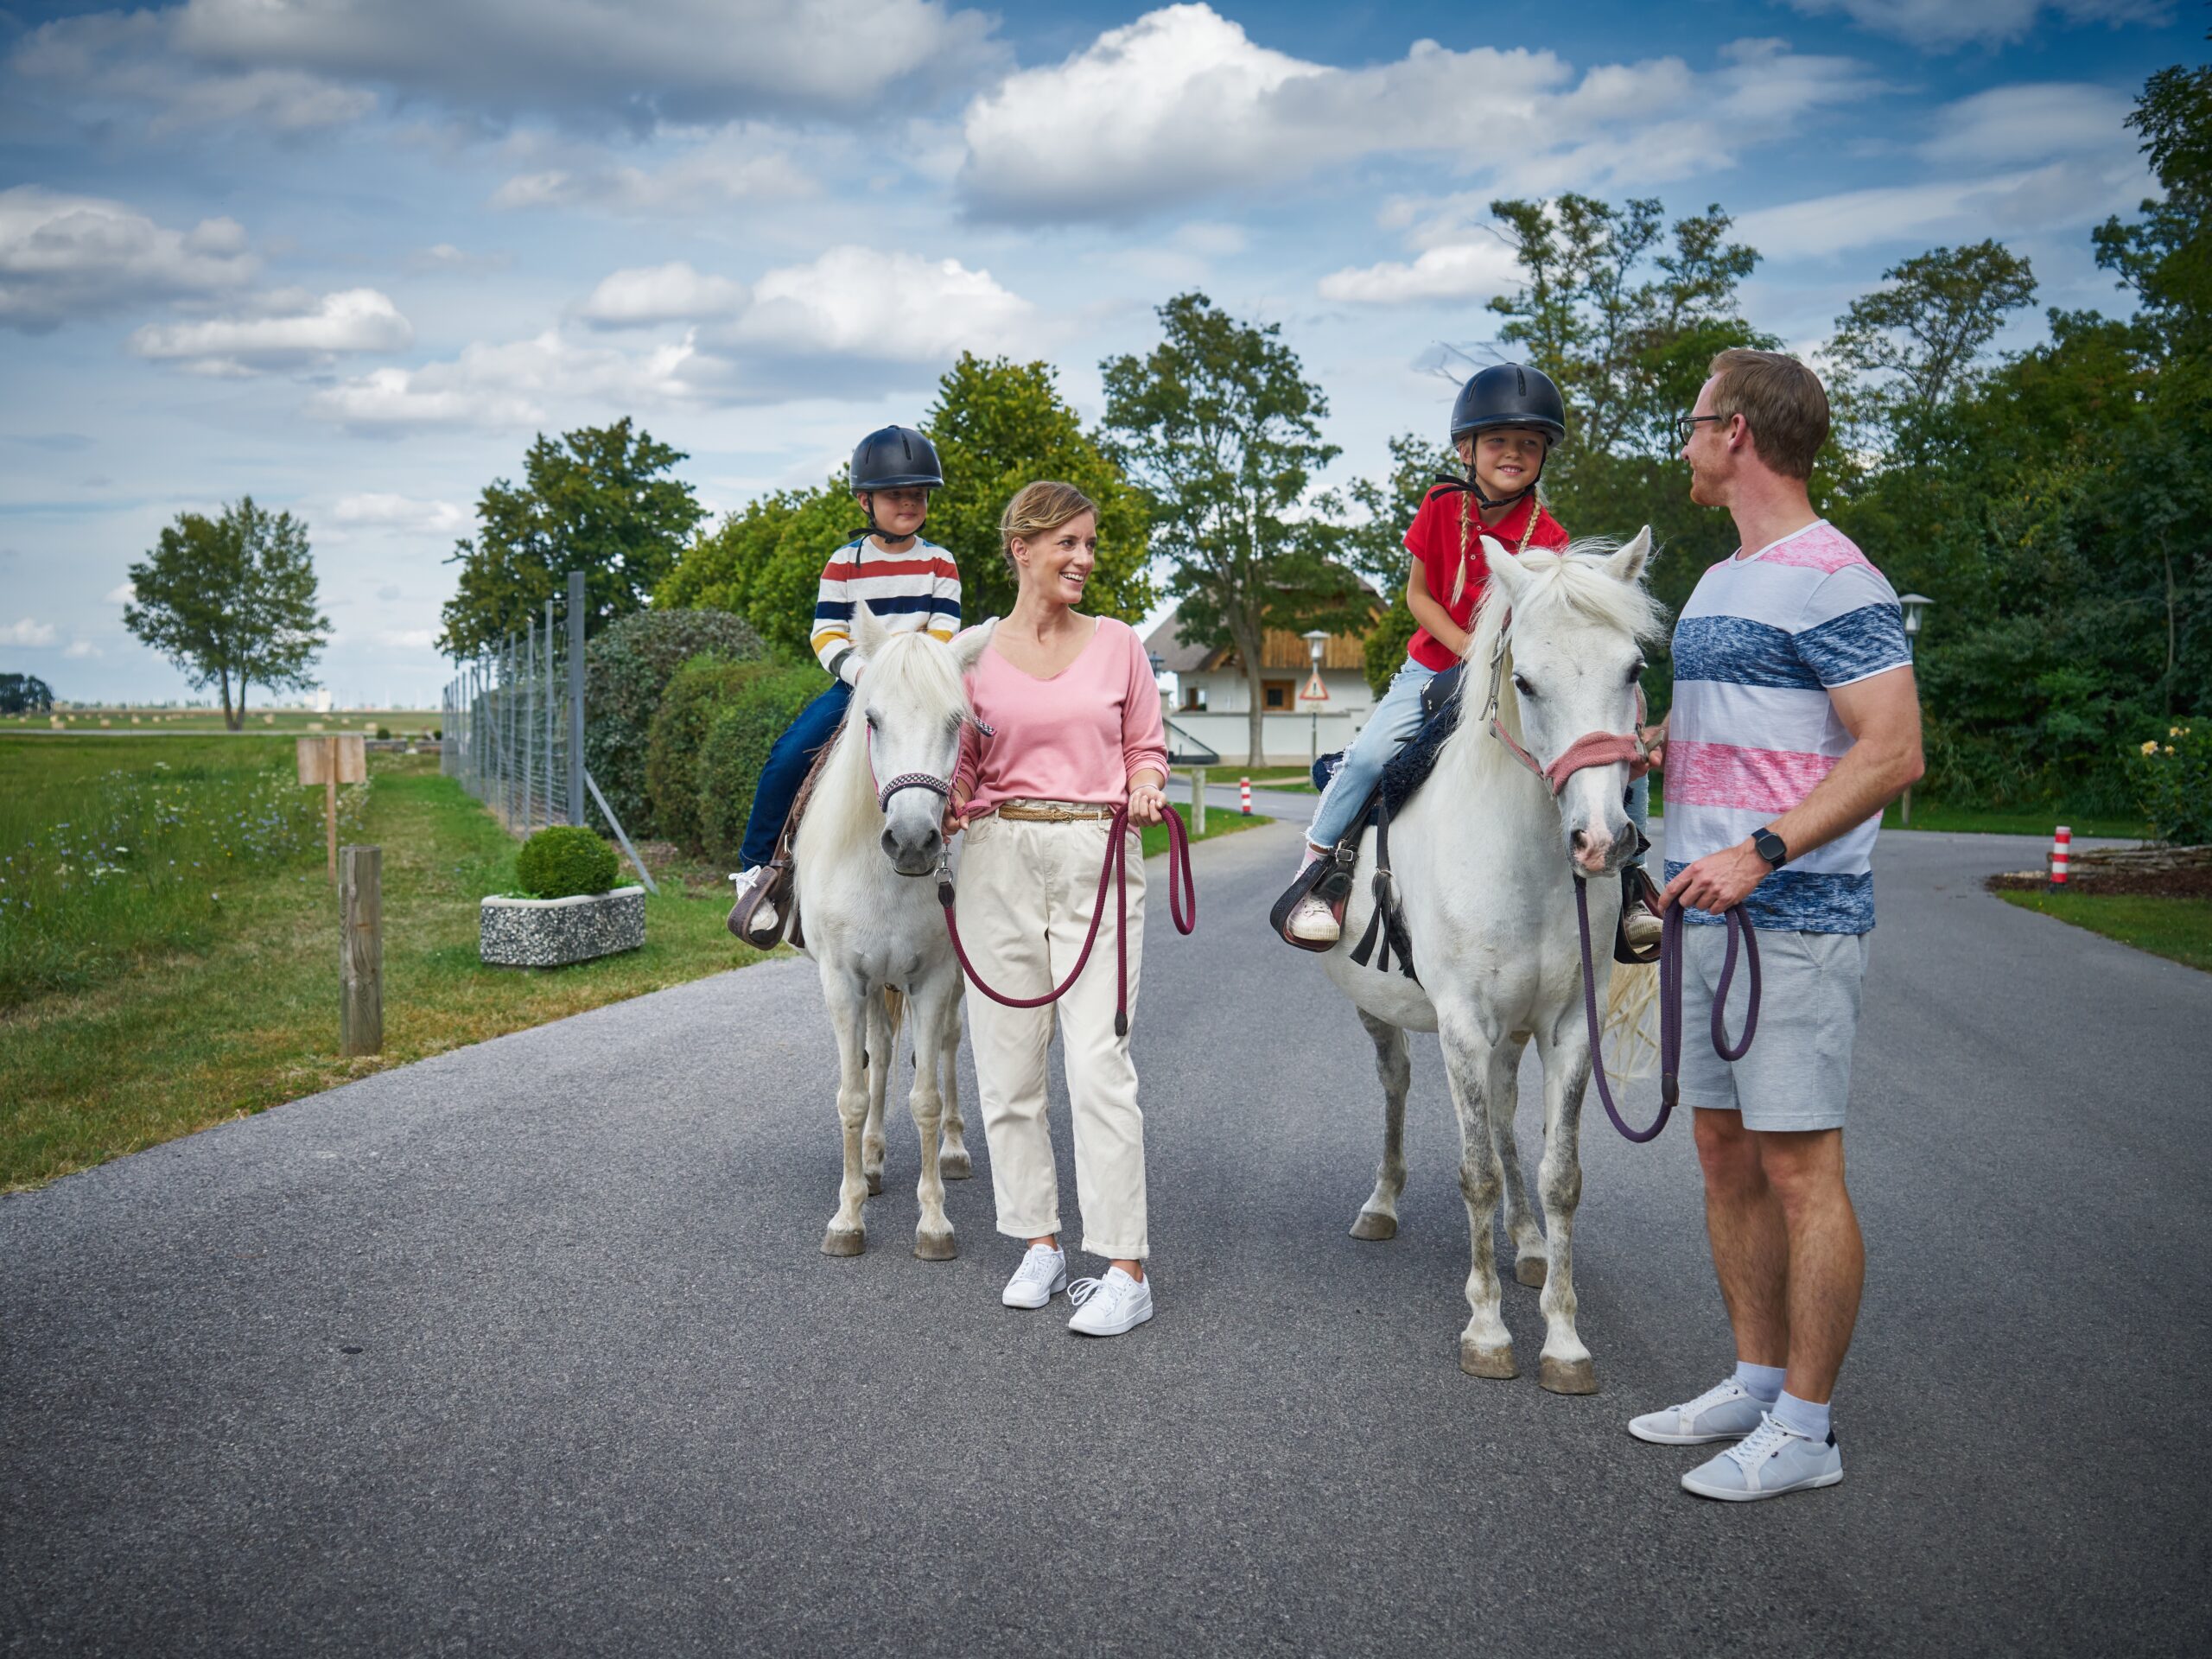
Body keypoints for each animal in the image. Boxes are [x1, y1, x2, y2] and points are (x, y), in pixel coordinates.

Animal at [791, 606, 990, 1256]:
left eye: (956, 722)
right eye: (872, 719)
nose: (911, 841)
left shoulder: (934, 979)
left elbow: (925, 1096)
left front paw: (933, 1222)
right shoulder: (844, 980)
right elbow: (853, 1095)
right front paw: (848, 1214)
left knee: (947, 1048)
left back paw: (953, 1150)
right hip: (877, 983)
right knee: (878, 1054)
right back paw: (874, 1160)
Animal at [1309, 528, 1663, 1389]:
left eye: (1634, 670)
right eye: (1525, 681)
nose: (1601, 842)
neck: (1524, 855)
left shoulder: (1568, 1028)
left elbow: (1558, 1175)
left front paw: (1563, 1338)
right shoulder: (1464, 1026)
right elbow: (1476, 1172)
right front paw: (1488, 1330)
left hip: (1514, 1033)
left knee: (1506, 1119)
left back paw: (1528, 1243)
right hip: (1383, 1013)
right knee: (1398, 1086)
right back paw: (1382, 1204)